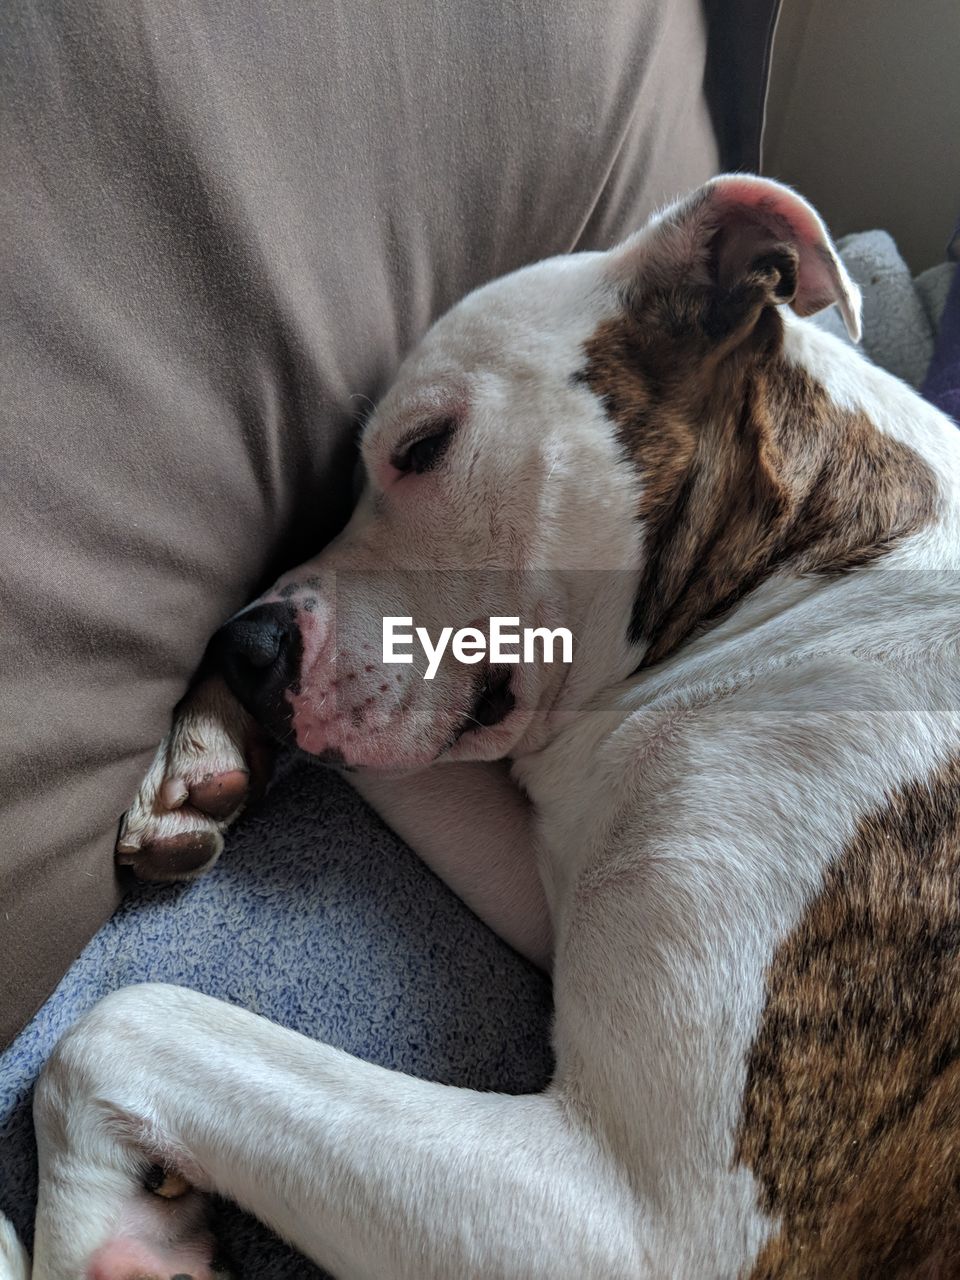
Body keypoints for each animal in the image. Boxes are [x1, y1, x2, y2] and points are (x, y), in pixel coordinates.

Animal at [1, 177, 960, 1280]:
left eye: (422, 447)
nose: (244, 644)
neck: (792, 580)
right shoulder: (559, 859)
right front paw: (194, 756)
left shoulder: (635, 1216)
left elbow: (127, 1023)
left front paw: (112, 1240)